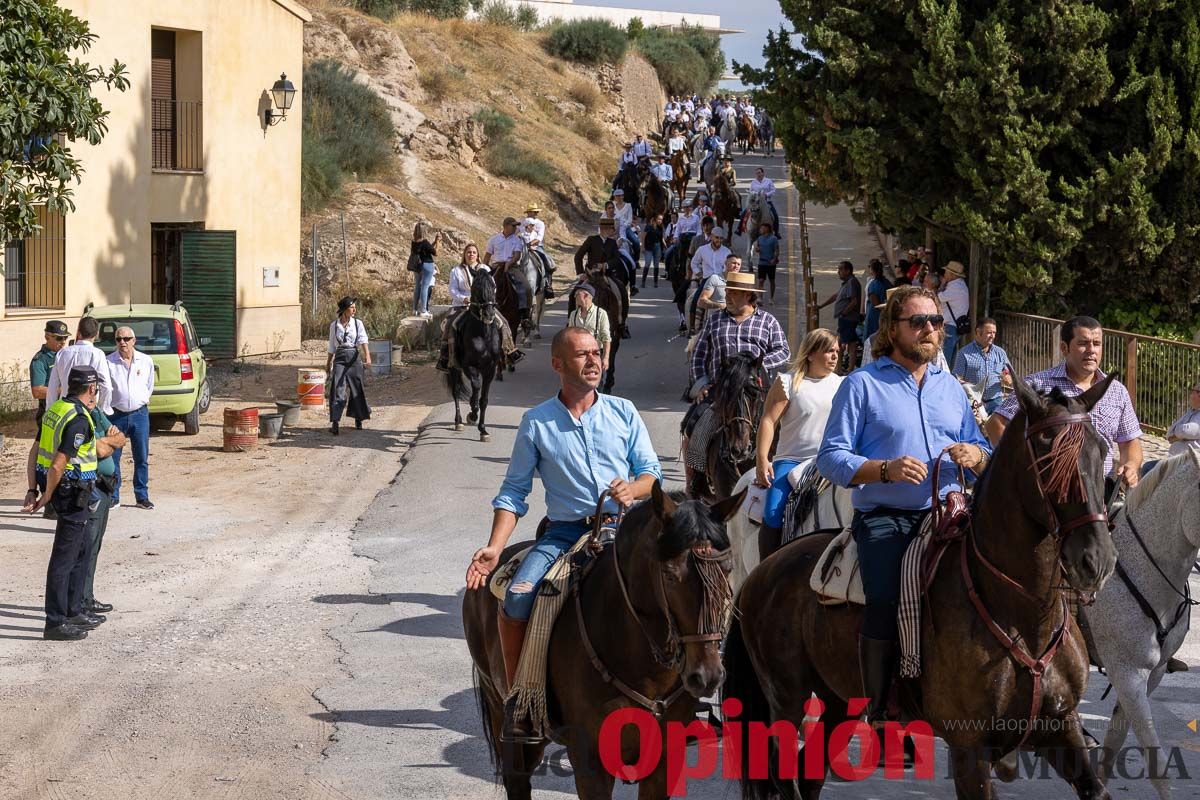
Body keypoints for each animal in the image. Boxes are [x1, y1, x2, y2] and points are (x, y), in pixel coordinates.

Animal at [446, 268, 501, 443]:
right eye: (476, 287)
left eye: (493, 286)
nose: (489, 314)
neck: (483, 334)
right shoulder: (469, 366)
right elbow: (476, 387)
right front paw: (472, 413)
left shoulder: (490, 369)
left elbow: (484, 400)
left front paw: (483, 430)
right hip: (453, 368)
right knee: (456, 391)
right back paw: (458, 422)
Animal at [463, 482, 744, 800]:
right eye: (670, 575)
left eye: (728, 569)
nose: (707, 675)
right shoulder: (591, 762)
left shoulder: (665, 759)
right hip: (500, 708)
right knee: (517, 779)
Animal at [720, 376, 1123, 800]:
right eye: (1048, 458)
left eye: (1101, 449)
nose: (1097, 559)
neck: (1022, 616)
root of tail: (764, 571)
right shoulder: (969, 750)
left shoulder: (1063, 727)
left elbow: (1095, 788)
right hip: (786, 698)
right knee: (783, 773)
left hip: (838, 700)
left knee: (809, 771)